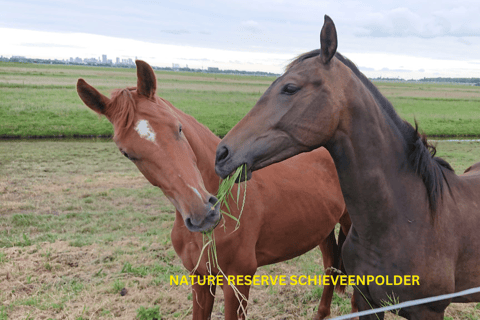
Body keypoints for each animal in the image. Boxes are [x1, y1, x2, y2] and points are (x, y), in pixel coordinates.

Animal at [76, 60, 352, 320]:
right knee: (330, 264)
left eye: (177, 127)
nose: (203, 213)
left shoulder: (237, 281)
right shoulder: (200, 278)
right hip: (323, 227)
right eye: (127, 153)